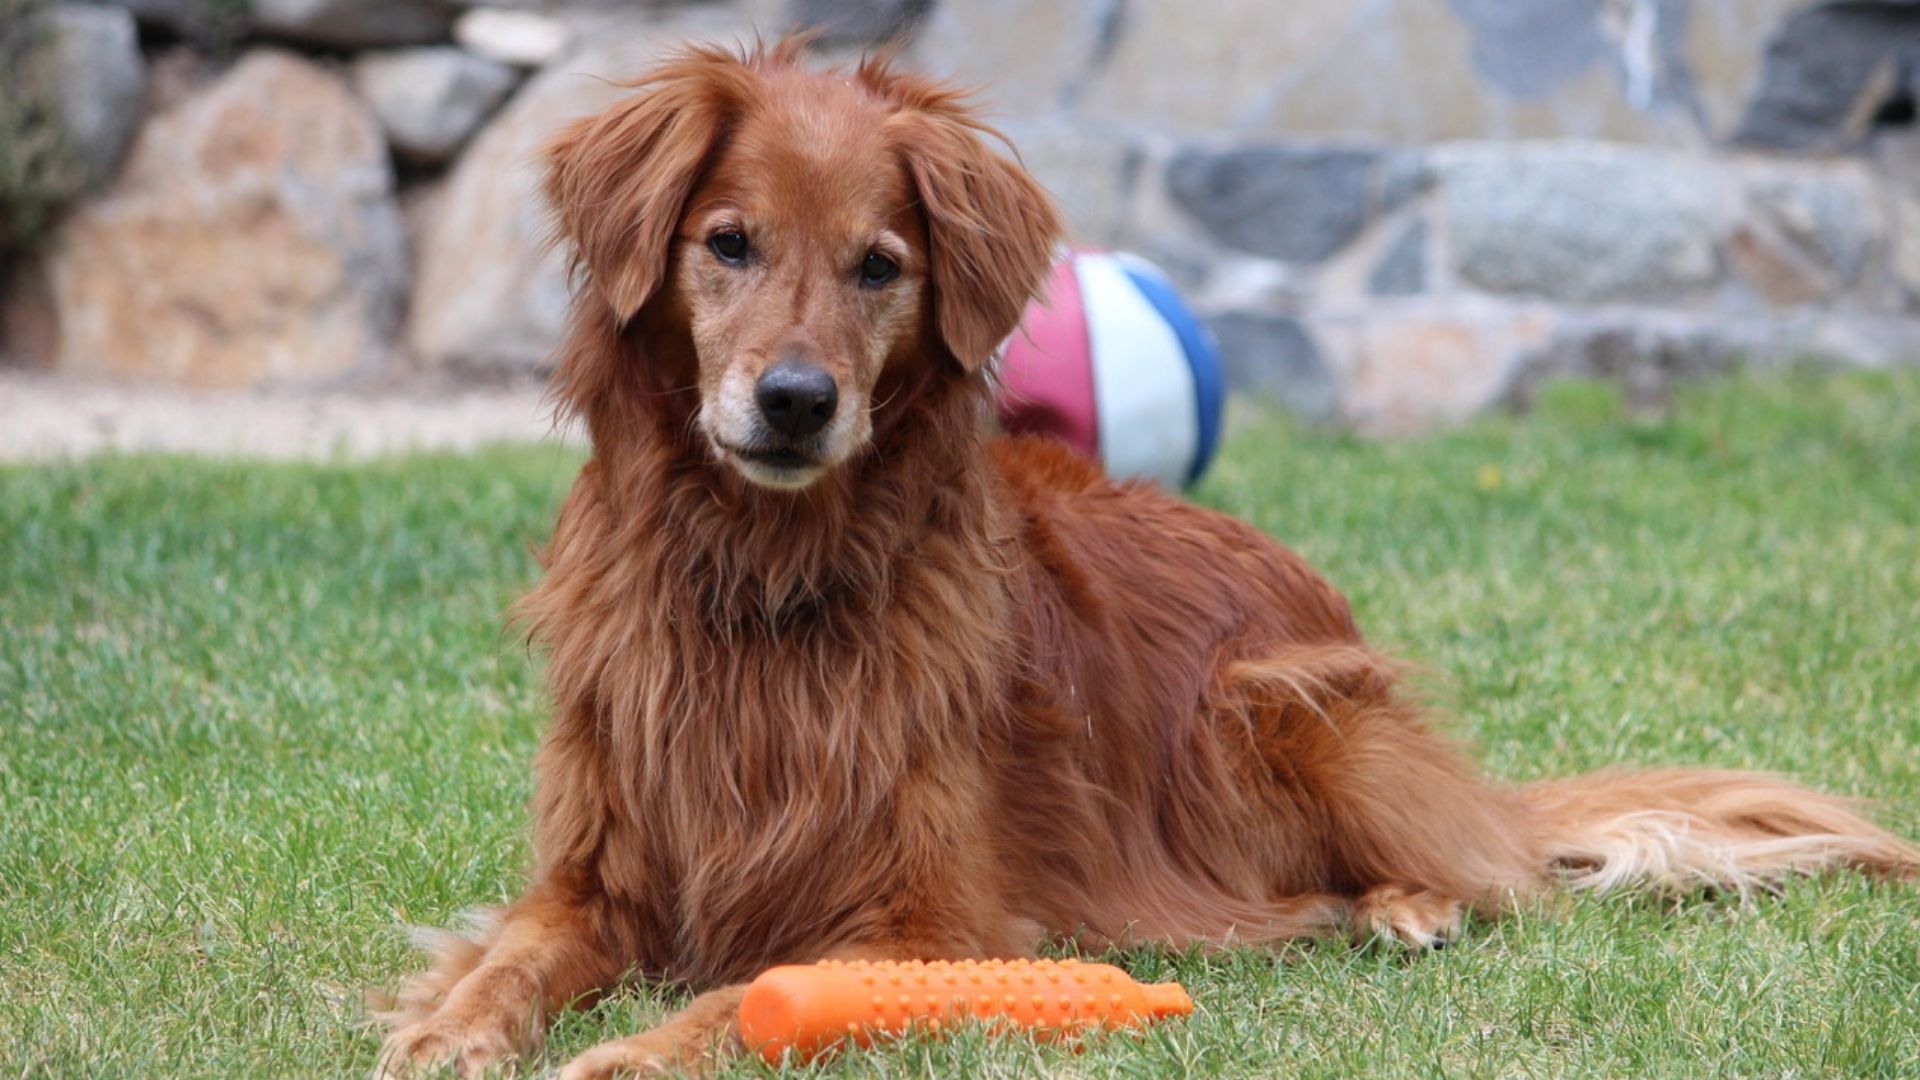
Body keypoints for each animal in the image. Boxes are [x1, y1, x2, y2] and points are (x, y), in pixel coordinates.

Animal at [370, 42, 1904, 1076]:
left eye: (880, 267)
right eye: (727, 244)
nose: (797, 401)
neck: (762, 578)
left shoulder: (940, 917)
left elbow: (735, 1003)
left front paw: (629, 1053)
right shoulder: (594, 875)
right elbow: (509, 957)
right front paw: (452, 1030)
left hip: (1279, 710)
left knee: (1482, 870)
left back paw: (1404, 906)